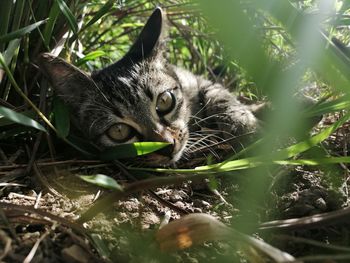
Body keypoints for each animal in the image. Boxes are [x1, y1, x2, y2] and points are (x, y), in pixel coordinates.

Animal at [37, 7, 260, 166]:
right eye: (119, 131)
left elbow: (219, 93)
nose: (168, 147)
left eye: (165, 101)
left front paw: (244, 125)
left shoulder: (195, 79)